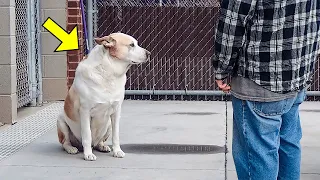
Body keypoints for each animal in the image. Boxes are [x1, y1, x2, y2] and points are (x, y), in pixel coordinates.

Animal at [56, 32, 151, 160]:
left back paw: (102, 146)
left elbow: (116, 136)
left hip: (109, 124)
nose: (149, 54)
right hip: (61, 122)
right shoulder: (85, 112)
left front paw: (117, 151)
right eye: (131, 45)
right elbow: (87, 135)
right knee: (65, 142)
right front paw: (88, 154)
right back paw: (72, 148)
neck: (109, 71)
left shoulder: (116, 112)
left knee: (98, 142)